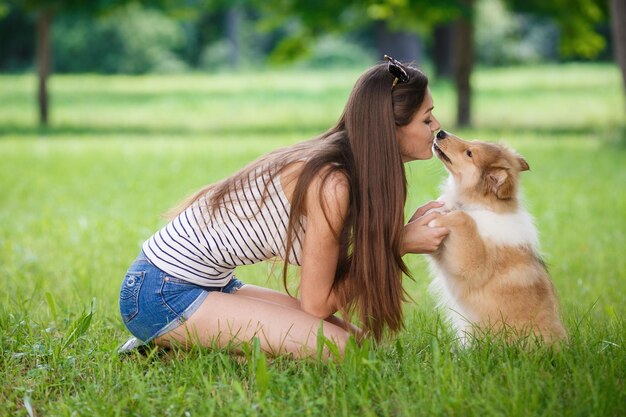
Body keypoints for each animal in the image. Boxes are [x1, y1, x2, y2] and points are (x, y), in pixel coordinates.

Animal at [424, 130, 564, 344]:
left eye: (469, 153)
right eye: (472, 142)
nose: (440, 132)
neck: (479, 206)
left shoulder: (473, 265)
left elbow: (464, 218)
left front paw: (438, 218)